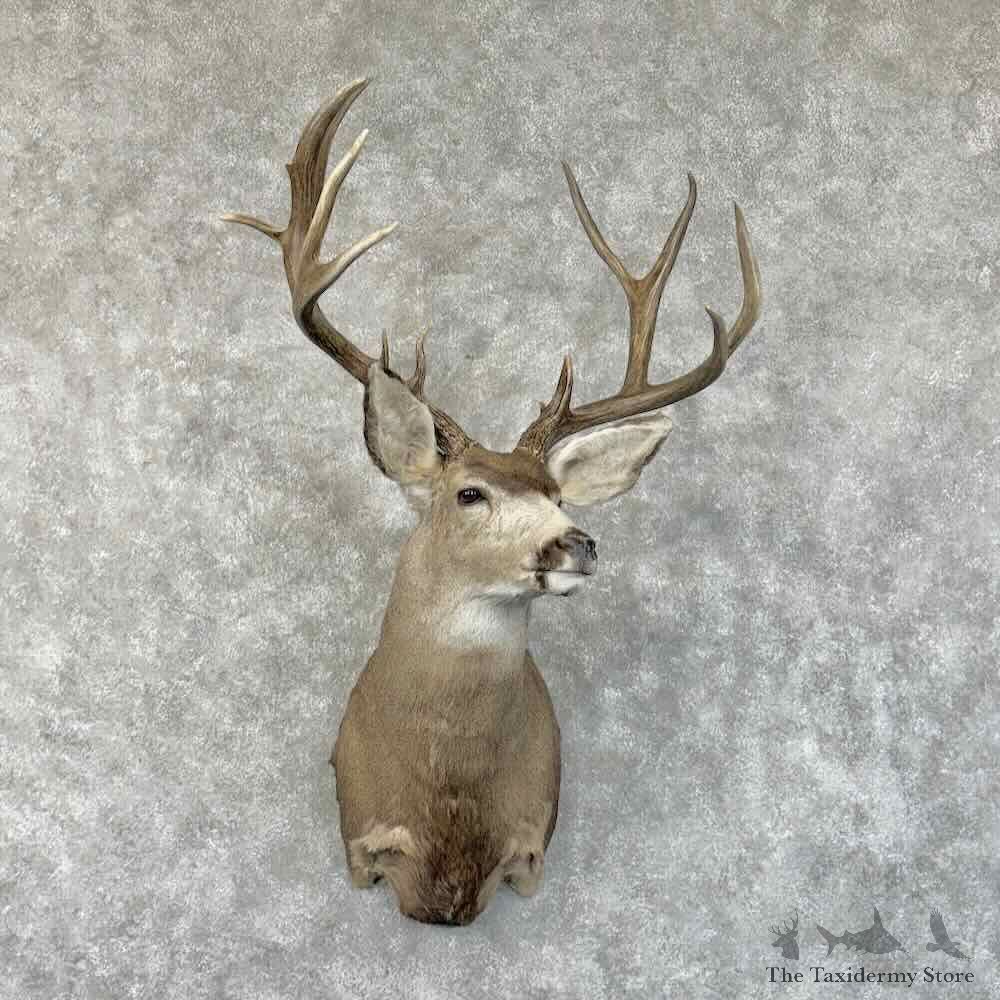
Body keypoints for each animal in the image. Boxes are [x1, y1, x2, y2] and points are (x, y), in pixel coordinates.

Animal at [222, 77, 760, 926]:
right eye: (469, 492)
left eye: (555, 493)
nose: (577, 541)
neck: (449, 811)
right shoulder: (360, 835)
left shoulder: (531, 839)